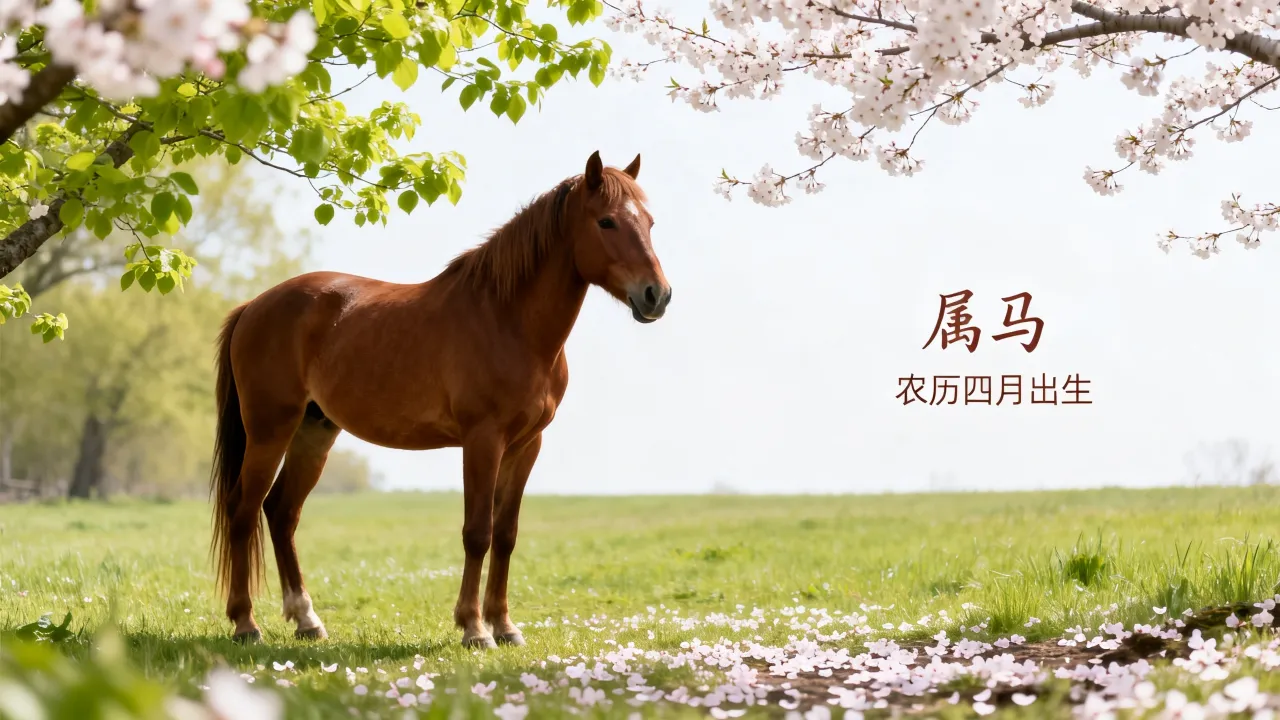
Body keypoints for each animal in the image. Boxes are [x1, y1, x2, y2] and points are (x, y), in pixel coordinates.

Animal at [208, 151, 671, 648]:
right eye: (606, 221)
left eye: (650, 222)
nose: (657, 295)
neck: (507, 320)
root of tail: (253, 307)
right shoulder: (482, 440)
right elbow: (477, 532)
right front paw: (474, 628)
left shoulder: (526, 445)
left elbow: (506, 535)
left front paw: (505, 626)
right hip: (269, 430)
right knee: (243, 510)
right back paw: (245, 623)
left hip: (314, 432)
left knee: (281, 513)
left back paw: (307, 620)